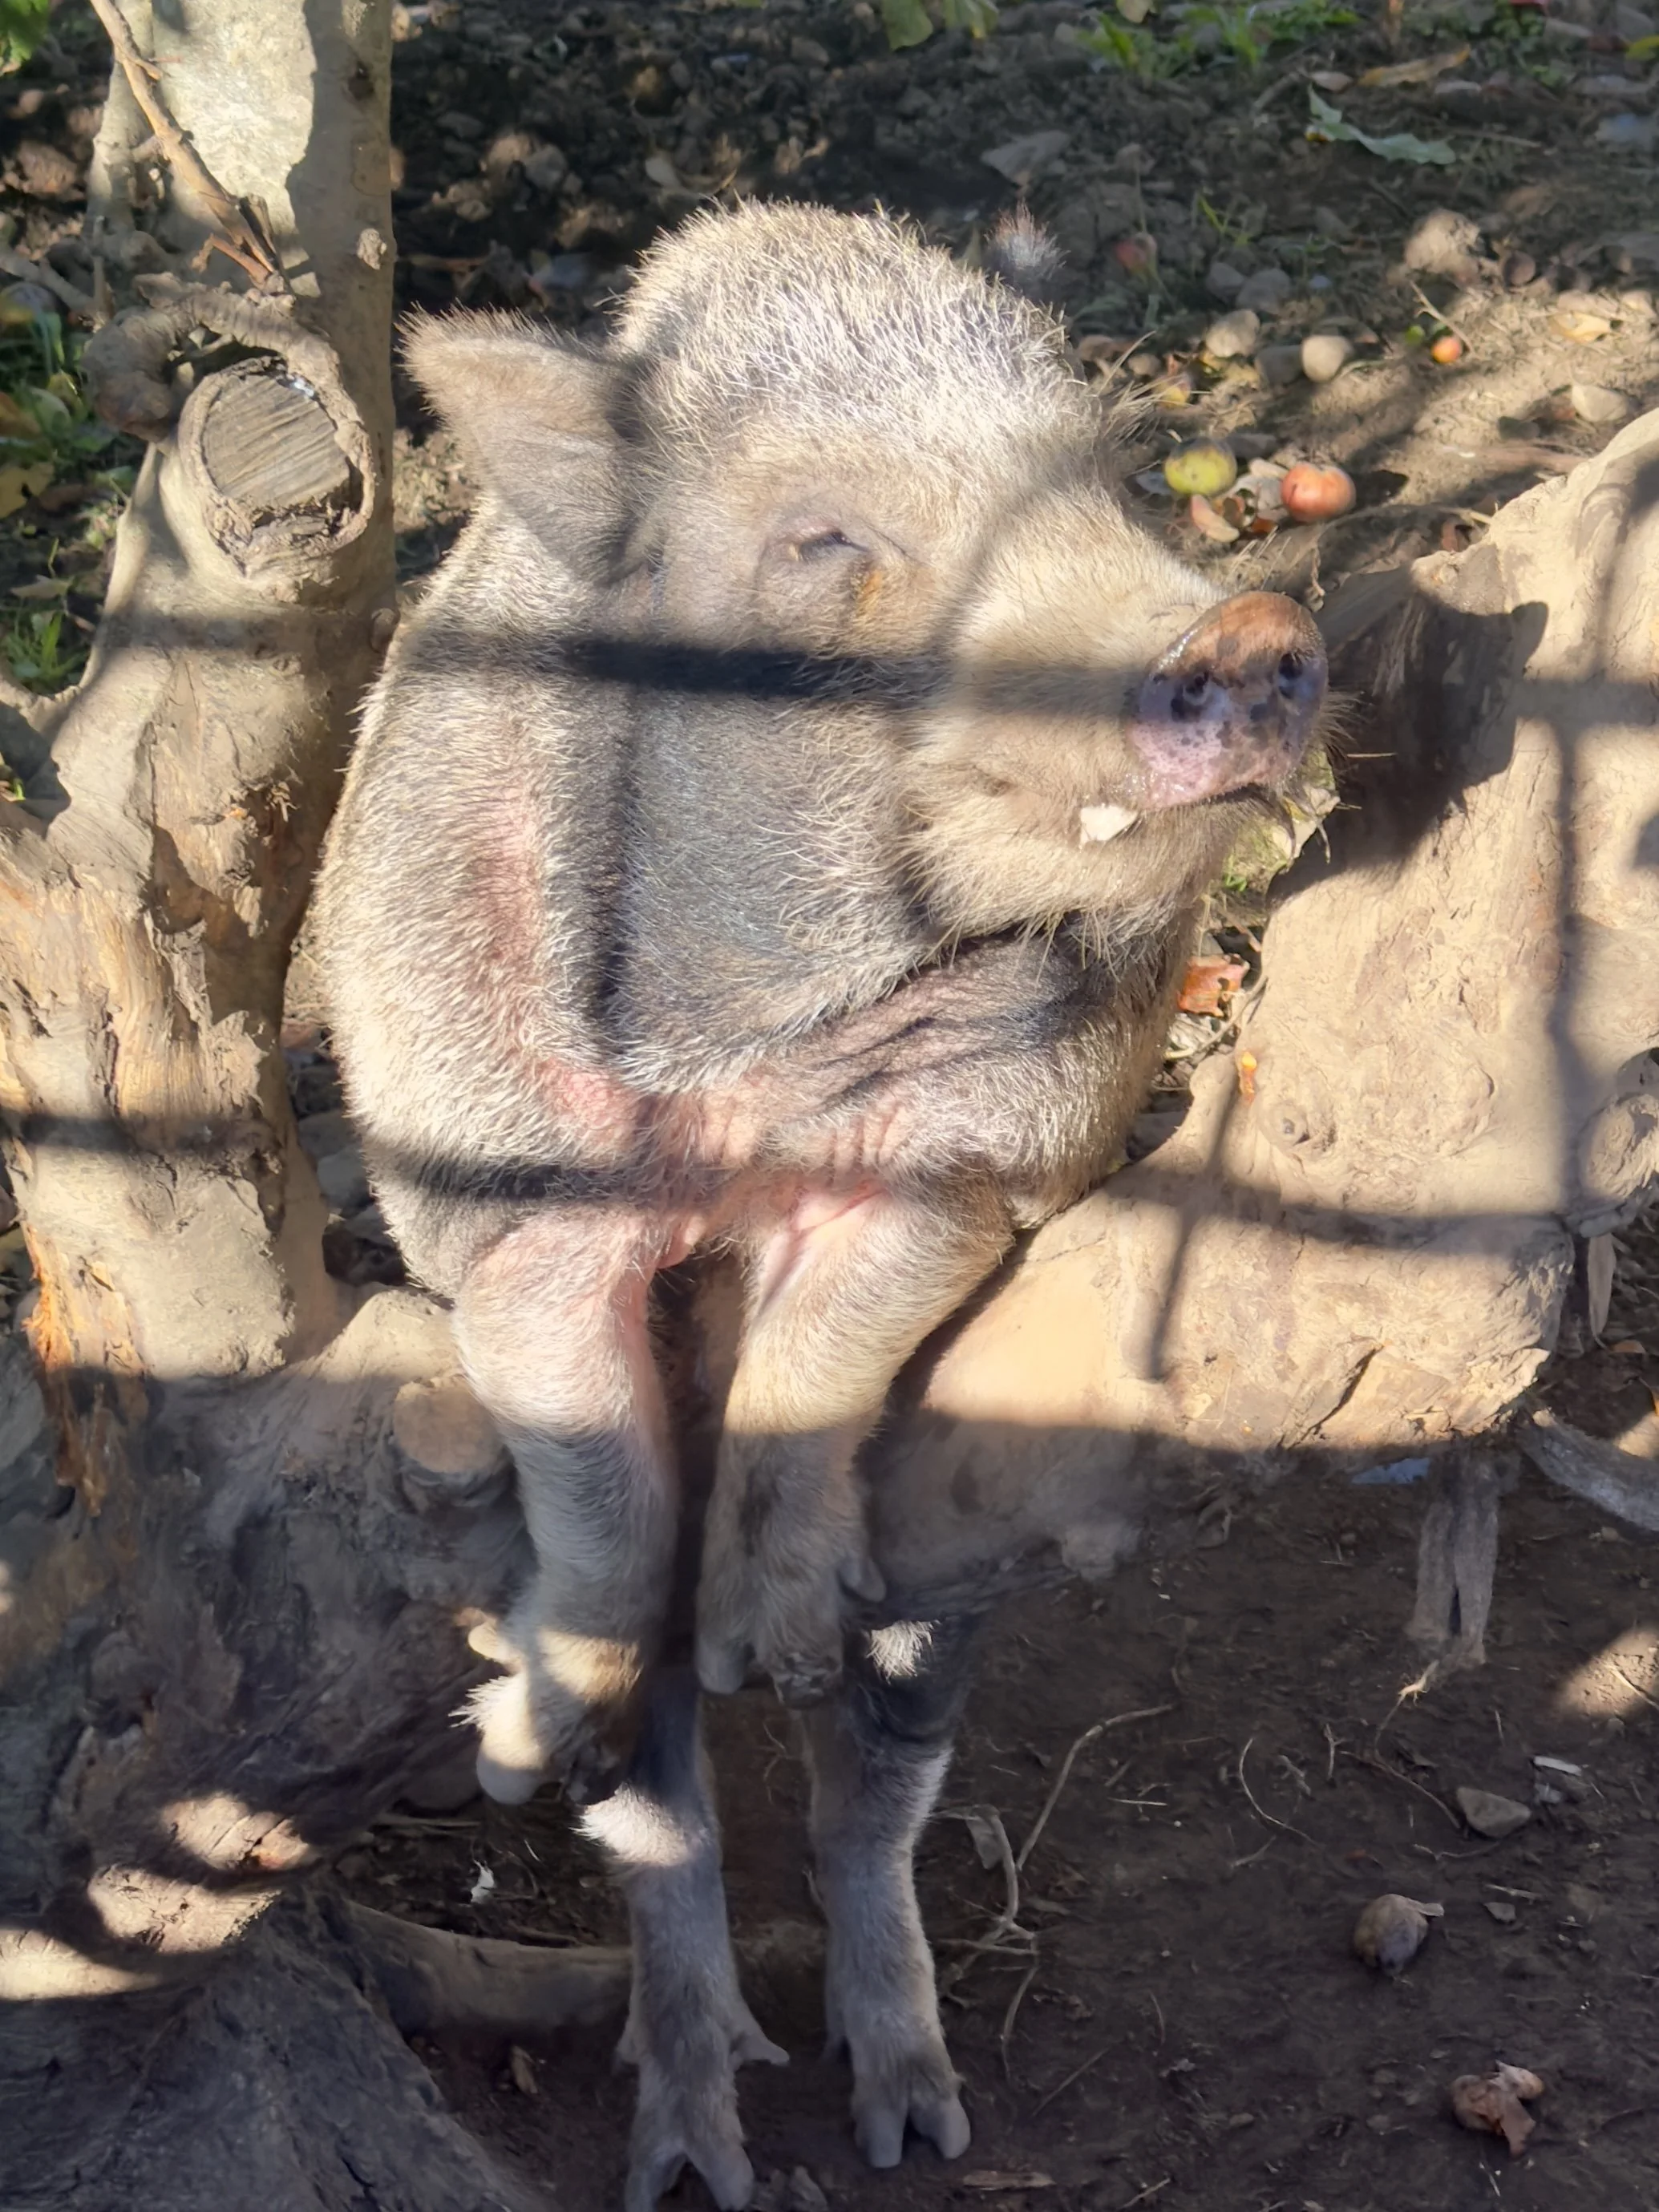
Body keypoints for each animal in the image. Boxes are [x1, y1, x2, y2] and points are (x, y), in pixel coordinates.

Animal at [315, 200, 1326, 2206]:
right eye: (819, 540)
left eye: (1103, 473)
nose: (1247, 624)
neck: (747, 1072)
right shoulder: (493, 1187)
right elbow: (598, 1476)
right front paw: (518, 1730)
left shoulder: (981, 1152)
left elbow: (828, 1349)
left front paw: (763, 1626)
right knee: (666, 1819)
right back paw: (685, 2135)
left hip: (946, 1599)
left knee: (871, 1788)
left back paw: (909, 2109)